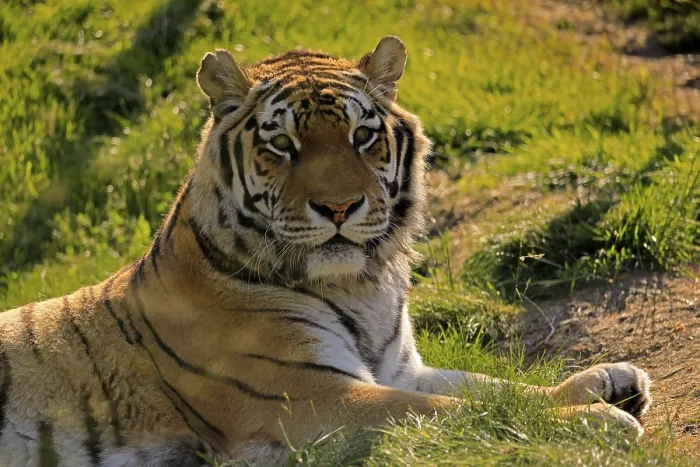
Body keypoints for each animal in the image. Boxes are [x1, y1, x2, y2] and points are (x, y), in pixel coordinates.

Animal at [0, 36, 652, 466]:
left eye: (362, 136)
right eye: (282, 144)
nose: (339, 208)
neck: (362, 286)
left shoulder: (398, 369)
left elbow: (492, 387)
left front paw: (611, 380)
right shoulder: (311, 396)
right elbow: (463, 411)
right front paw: (599, 422)